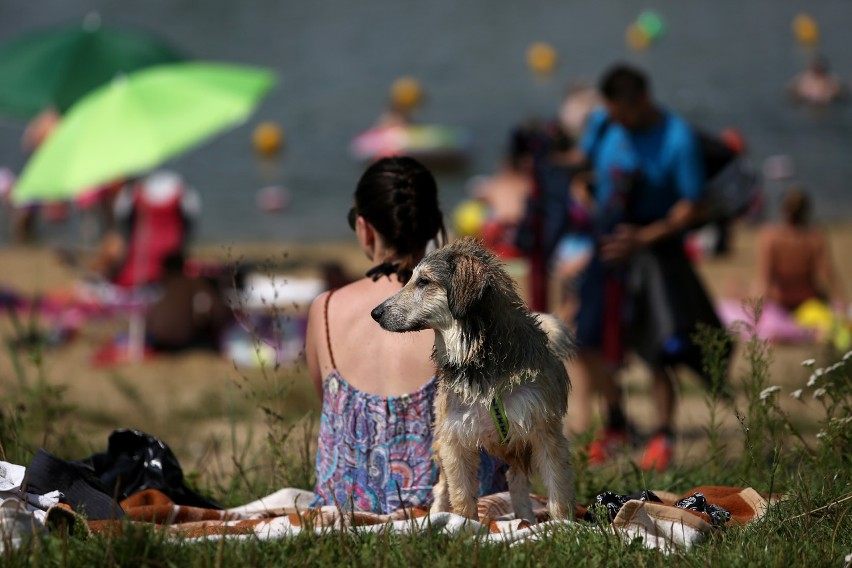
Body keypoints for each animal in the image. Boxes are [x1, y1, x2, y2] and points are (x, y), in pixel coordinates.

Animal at [370, 237, 576, 520]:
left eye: (423, 281)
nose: (375, 313)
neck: (481, 362)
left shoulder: (544, 429)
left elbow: (558, 491)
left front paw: (562, 525)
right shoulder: (454, 437)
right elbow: (461, 496)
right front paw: (465, 525)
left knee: (517, 481)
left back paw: (525, 518)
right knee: (441, 487)